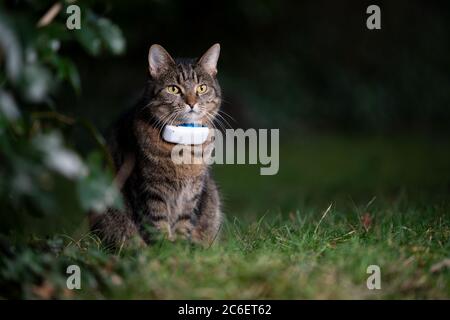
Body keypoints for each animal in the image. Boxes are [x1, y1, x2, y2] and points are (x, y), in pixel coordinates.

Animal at [91, 43, 223, 248]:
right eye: (174, 89)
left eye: (201, 88)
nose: (191, 103)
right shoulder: (149, 188)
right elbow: (157, 222)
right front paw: (165, 248)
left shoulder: (193, 191)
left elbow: (184, 221)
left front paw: (180, 247)